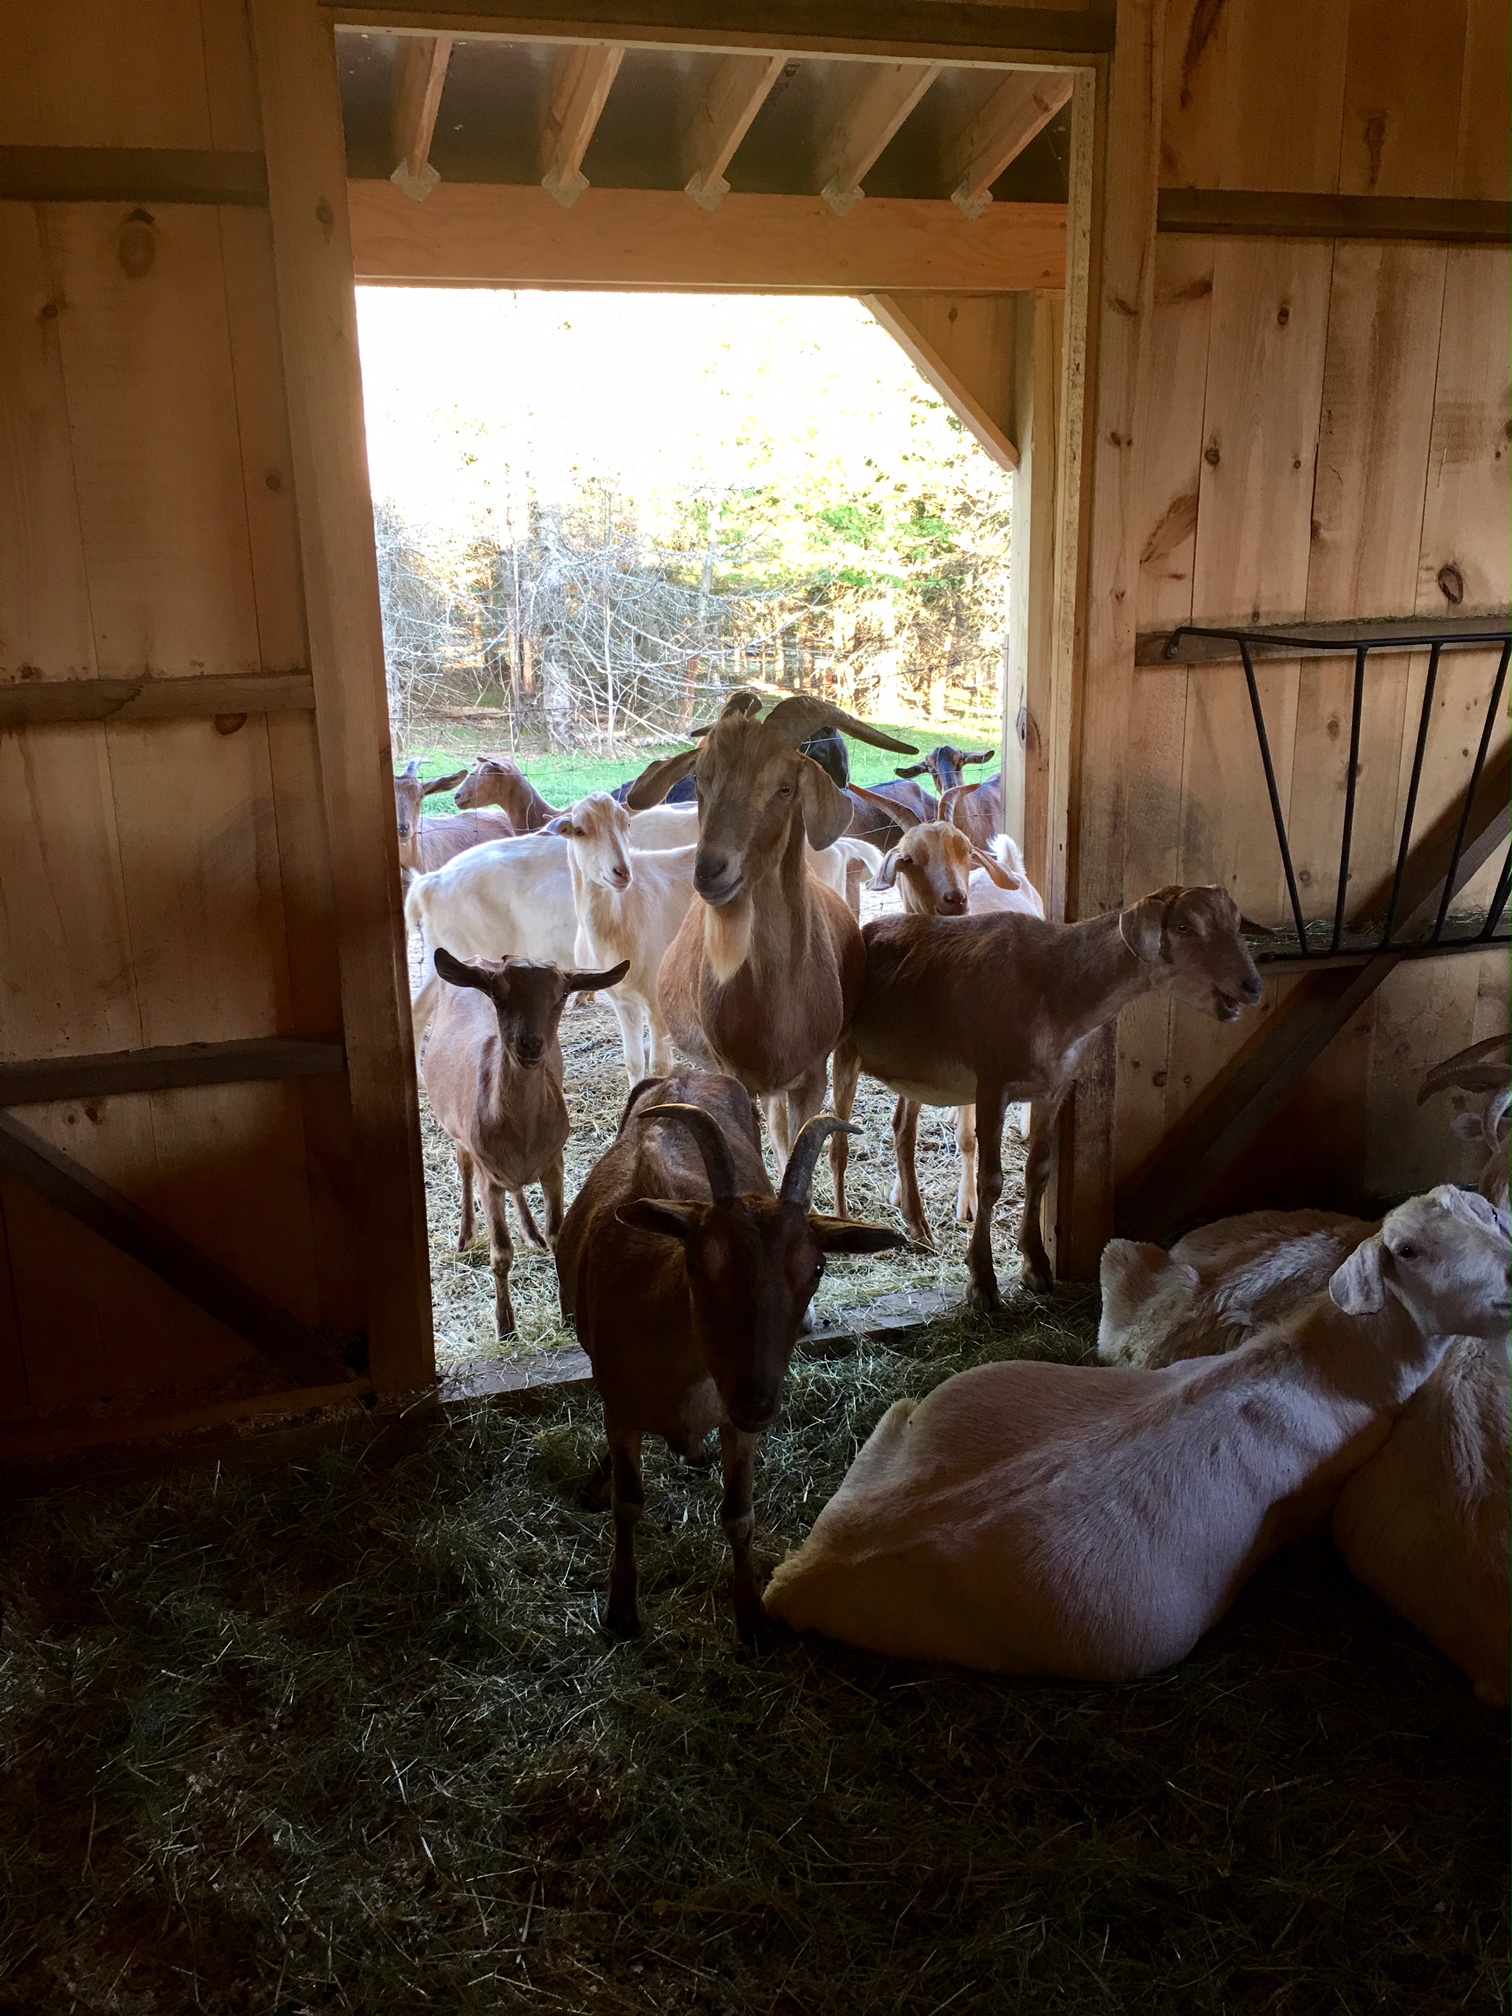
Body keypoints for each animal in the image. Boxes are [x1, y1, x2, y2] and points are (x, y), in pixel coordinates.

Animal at [423, 949, 628, 1335]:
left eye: (561, 994)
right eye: (497, 993)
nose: (531, 1044)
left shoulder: (555, 1164)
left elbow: (558, 1235)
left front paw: (568, 1313)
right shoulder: (488, 1176)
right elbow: (501, 1252)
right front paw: (505, 1327)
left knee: (516, 1187)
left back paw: (531, 1232)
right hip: (457, 1133)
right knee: (464, 1165)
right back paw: (465, 1235)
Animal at [544, 792, 697, 1082]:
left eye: (627, 824)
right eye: (578, 831)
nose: (622, 872)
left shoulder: (656, 1000)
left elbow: (659, 1067)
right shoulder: (623, 1001)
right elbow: (634, 1062)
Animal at [557, 1073, 904, 1641]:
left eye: (817, 1268)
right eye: (698, 1263)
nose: (757, 1399)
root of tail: (682, 1074)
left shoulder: (737, 1425)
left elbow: (739, 1514)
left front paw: (751, 1617)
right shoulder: (621, 1409)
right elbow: (627, 1503)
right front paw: (622, 1609)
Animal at [626, 692, 918, 1166]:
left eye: (784, 787)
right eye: (700, 779)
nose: (711, 871)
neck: (777, 1002)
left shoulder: (812, 1074)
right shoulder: (736, 1074)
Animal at [832, 885, 1262, 1300]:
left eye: (1236, 921)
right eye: (1184, 927)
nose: (1252, 985)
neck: (1055, 991)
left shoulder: (1053, 1088)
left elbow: (1038, 1169)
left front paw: (1037, 1266)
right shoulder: (992, 1084)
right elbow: (991, 1180)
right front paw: (982, 1282)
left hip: (915, 1072)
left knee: (902, 1129)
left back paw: (918, 1225)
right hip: (844, 1051)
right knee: (837, 1142)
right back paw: (844, 1225)